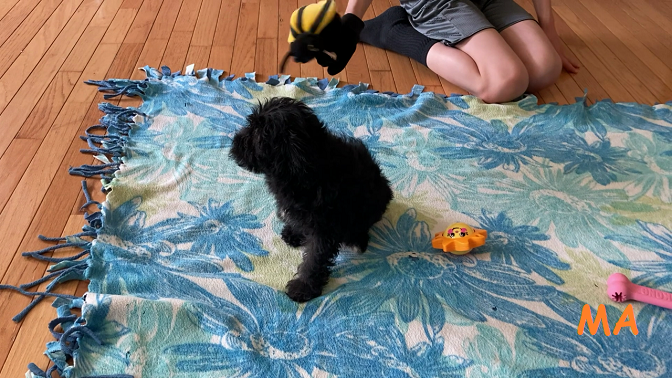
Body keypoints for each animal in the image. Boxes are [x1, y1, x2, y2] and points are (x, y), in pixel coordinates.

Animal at [230, 96, 394, 302]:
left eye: (259, 133)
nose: (234, 142)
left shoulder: (324, 229)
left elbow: (314, 260)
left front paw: (303, 288)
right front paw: (294, 233)